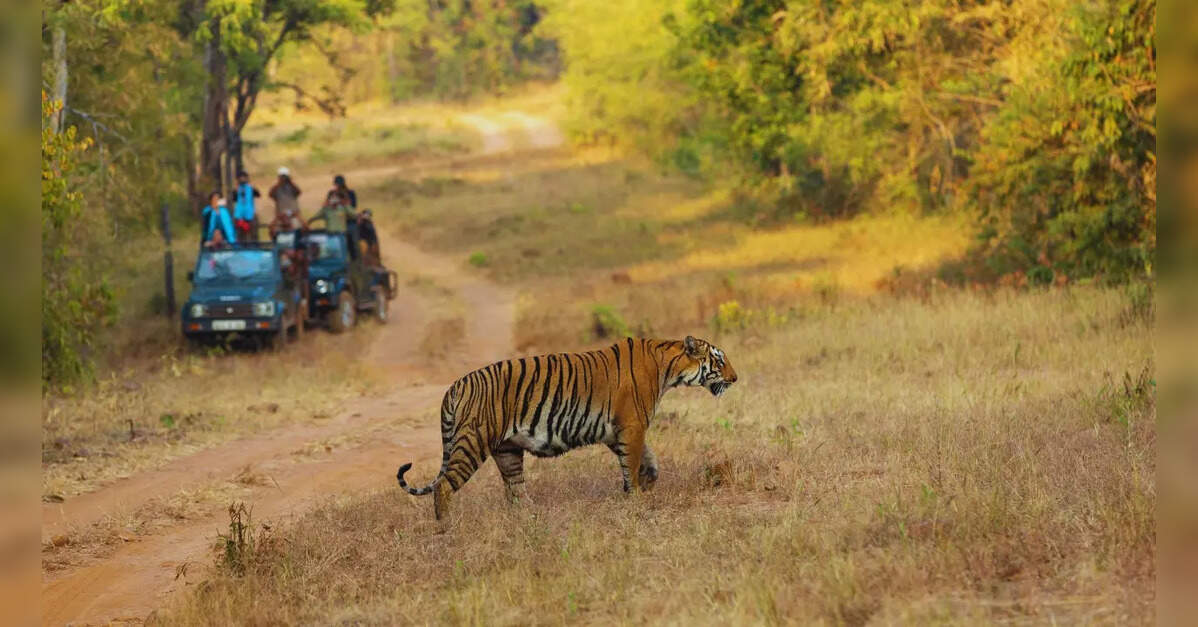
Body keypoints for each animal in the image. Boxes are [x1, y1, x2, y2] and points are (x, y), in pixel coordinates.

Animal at [396, 336, 738, 519]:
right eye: (719, 361)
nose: (735, 378)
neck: (668, 366)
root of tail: (455, 385)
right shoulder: (632, 426)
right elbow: (633, 462)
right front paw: (636, 497)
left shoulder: (617, 430)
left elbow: (647, 459)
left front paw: (648, 481)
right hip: (473, 441)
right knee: (443, 486)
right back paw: (446, 529)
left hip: (507, 451)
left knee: (515, 491)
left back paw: (530, 517)